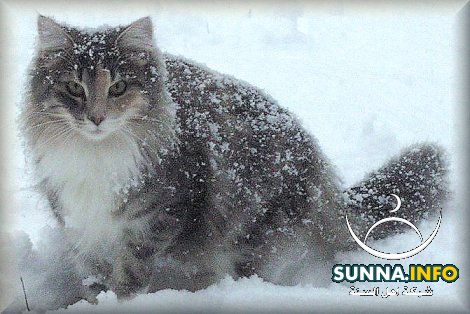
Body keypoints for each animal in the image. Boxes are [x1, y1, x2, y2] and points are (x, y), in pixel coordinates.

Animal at [14, 15, 448, 310]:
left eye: (118, 87)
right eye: (74, 87)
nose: (97, 118)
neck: (95, 155)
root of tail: (319, 166)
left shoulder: (157, 219)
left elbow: (130, 277)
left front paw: (122, 302)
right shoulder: (80, 226)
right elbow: (93, 279)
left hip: (252, 228)